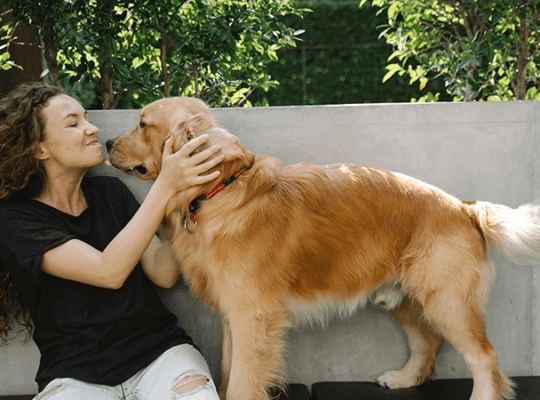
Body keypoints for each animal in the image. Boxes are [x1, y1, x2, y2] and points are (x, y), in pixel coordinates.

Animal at [105, 97, 540, 400]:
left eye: (142, 124)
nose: (107, 141)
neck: (221, 193)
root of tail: (464, 207)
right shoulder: (232, 318)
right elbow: (227, 373)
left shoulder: (252, 318)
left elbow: (242, 383)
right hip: (404, 299)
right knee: (427, 343)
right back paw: (402, 379)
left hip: (447, 302)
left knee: (485, 359)